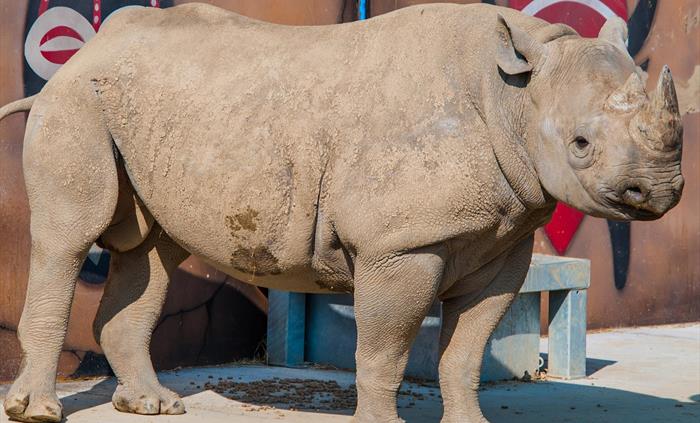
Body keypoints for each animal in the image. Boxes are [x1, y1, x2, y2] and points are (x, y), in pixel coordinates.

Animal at [0, 3, 683, 423]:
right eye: (580, 144)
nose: (657, 193)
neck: (516, 92)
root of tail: (85, 52)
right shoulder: (399, 243)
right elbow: (384, 348)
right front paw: (380, 422)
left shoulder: (505, 240)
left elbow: (466, 350)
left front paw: (470, 422)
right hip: (76, 100)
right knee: (68, 240)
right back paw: (40, 410)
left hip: (143, 109)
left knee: (155, 250)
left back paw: (154, 405)